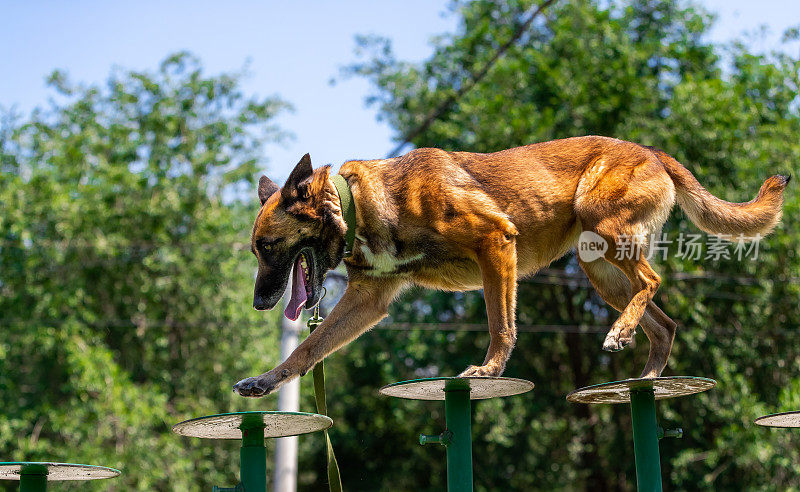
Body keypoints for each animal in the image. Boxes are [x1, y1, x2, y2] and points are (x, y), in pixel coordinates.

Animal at [234, 136, 792, 398]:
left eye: (268, 246)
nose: (259, 303)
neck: (356, 204)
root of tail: (652, 151)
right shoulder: (368, 302)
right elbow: (308, 348)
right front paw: (266, 380)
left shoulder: (495, 245)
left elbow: (500, 324)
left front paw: (488, 370)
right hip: (598, 265)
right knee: (666, 323)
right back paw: (644, 377)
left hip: (605, 230)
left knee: (652, 282)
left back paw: (620, 334)